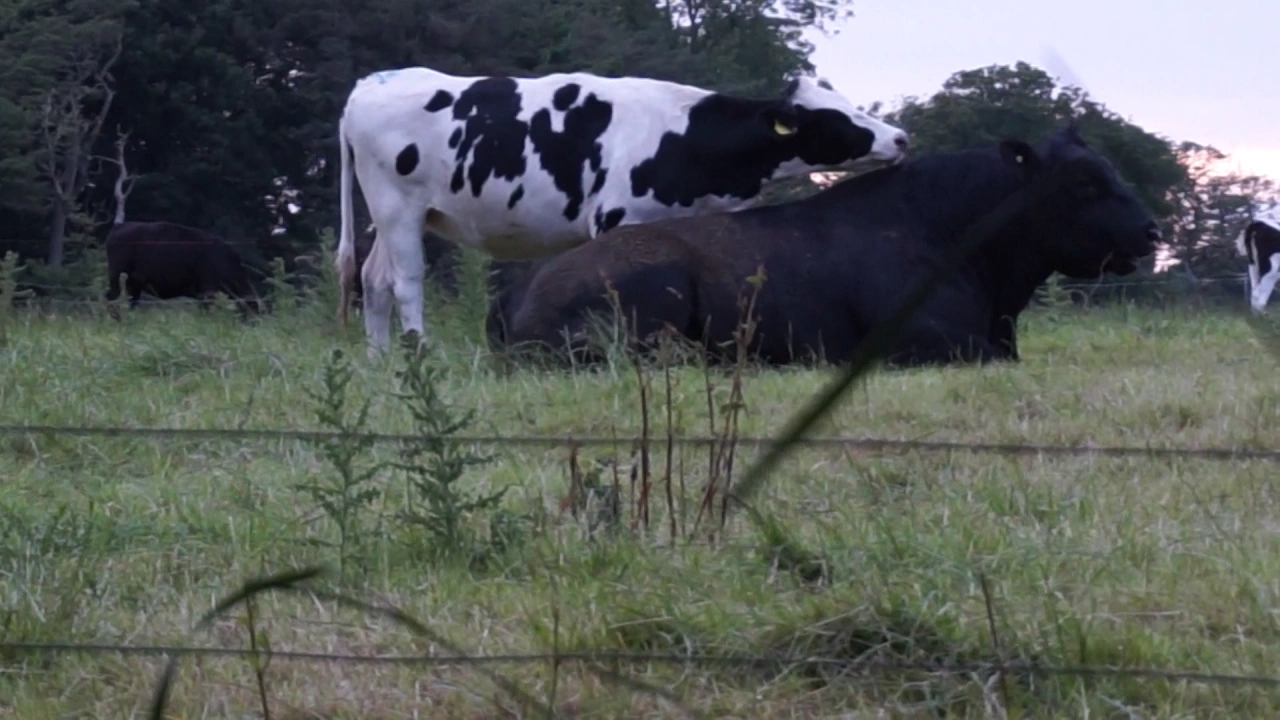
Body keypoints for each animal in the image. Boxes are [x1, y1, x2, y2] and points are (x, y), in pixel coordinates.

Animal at [104, 220, 259, 317]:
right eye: (252, 308)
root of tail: (119, 226)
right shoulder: (207, 290)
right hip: (116, 276)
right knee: (113, 297)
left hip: (133, 282)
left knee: (131, 299)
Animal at [330, 65, 911, 356]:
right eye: (836, 117)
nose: (901, 137)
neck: (685, 138)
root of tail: (370, 82)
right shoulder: (615, 218)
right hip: (399, 206)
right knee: (405, 283)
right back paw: (418, 353)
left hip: (394, 214)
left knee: (373, 280)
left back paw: (382, 363)